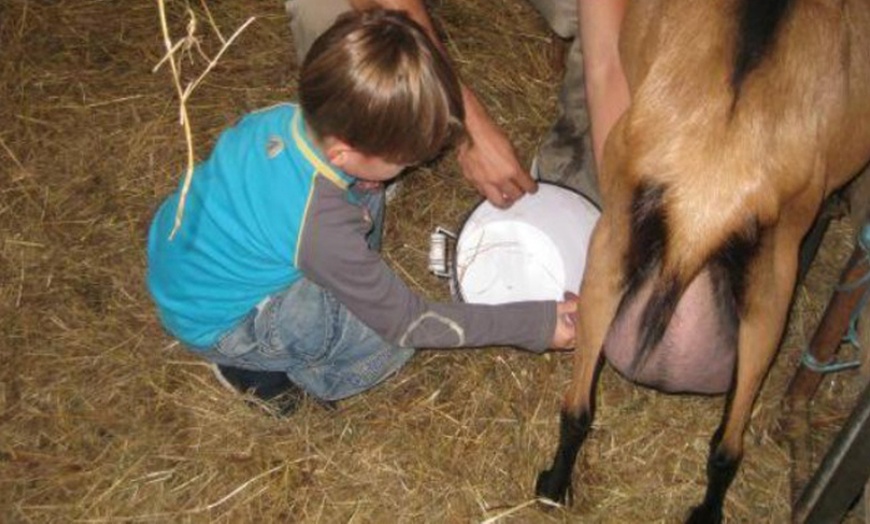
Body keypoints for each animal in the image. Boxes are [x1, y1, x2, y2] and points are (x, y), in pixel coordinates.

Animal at [536, 0, 870, 520]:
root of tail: (703, 200)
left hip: (610, 249)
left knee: (580, 410)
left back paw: (554, 488)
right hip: (770, 291)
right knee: (725, 444)